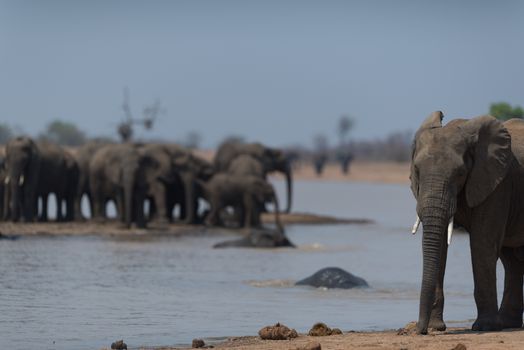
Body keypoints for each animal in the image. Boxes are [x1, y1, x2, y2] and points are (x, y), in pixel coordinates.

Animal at [412, 111, 524, 334]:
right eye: (417, 171)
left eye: (460, 173)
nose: (420, 330)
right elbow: (440, 248)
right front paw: (437, 327)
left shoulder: (497, 184)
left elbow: (482, 244)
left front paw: (485, 327)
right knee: (512, 260)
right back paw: (508, 323)